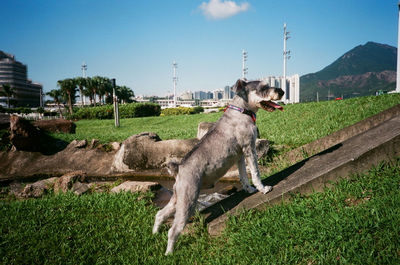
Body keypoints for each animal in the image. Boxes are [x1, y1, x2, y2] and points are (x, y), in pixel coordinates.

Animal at [152, 78, 284, 254]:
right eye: (263, 87)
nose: (282, 92)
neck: (242, 110)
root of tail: (179, 170)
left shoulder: (240, 156)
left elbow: (244, 176)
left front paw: (250, 190)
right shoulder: (250, 148)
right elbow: (255, 172)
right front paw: (263, 189)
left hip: (177, 199)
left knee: (160, 214)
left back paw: (154, 234)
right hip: (188, 201)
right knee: (173, 230)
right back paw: (169, 254)